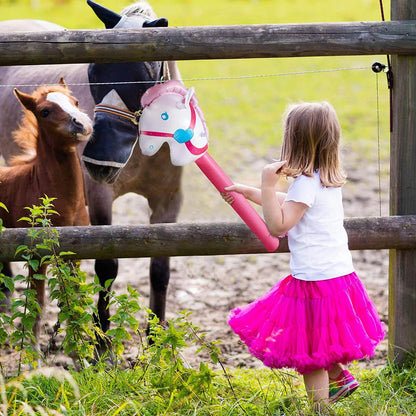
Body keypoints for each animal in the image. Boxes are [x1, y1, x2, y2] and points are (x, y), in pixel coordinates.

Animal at [0, 79, 92, 340]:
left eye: (75, 102)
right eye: (44, 112)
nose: (82, 123)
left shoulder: (77, 253)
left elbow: (74, 300)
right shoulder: (36, 257)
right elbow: (37, 305)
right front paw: (32, 348)